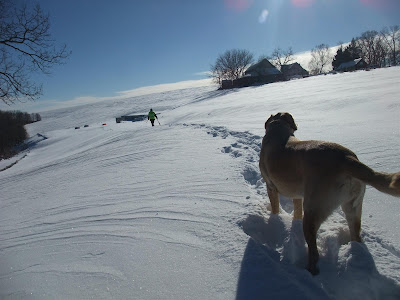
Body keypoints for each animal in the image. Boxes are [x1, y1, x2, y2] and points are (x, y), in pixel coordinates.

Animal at [260, 112, 400, 274]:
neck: (278, 127)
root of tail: (346, 158)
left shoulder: (270, 186)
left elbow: (275, 208)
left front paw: (275, 219)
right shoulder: (297, 195)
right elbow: (297, 211)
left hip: (313, 211)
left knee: (314, 253)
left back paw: (309, 272)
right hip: (353, 207)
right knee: (356, 236)